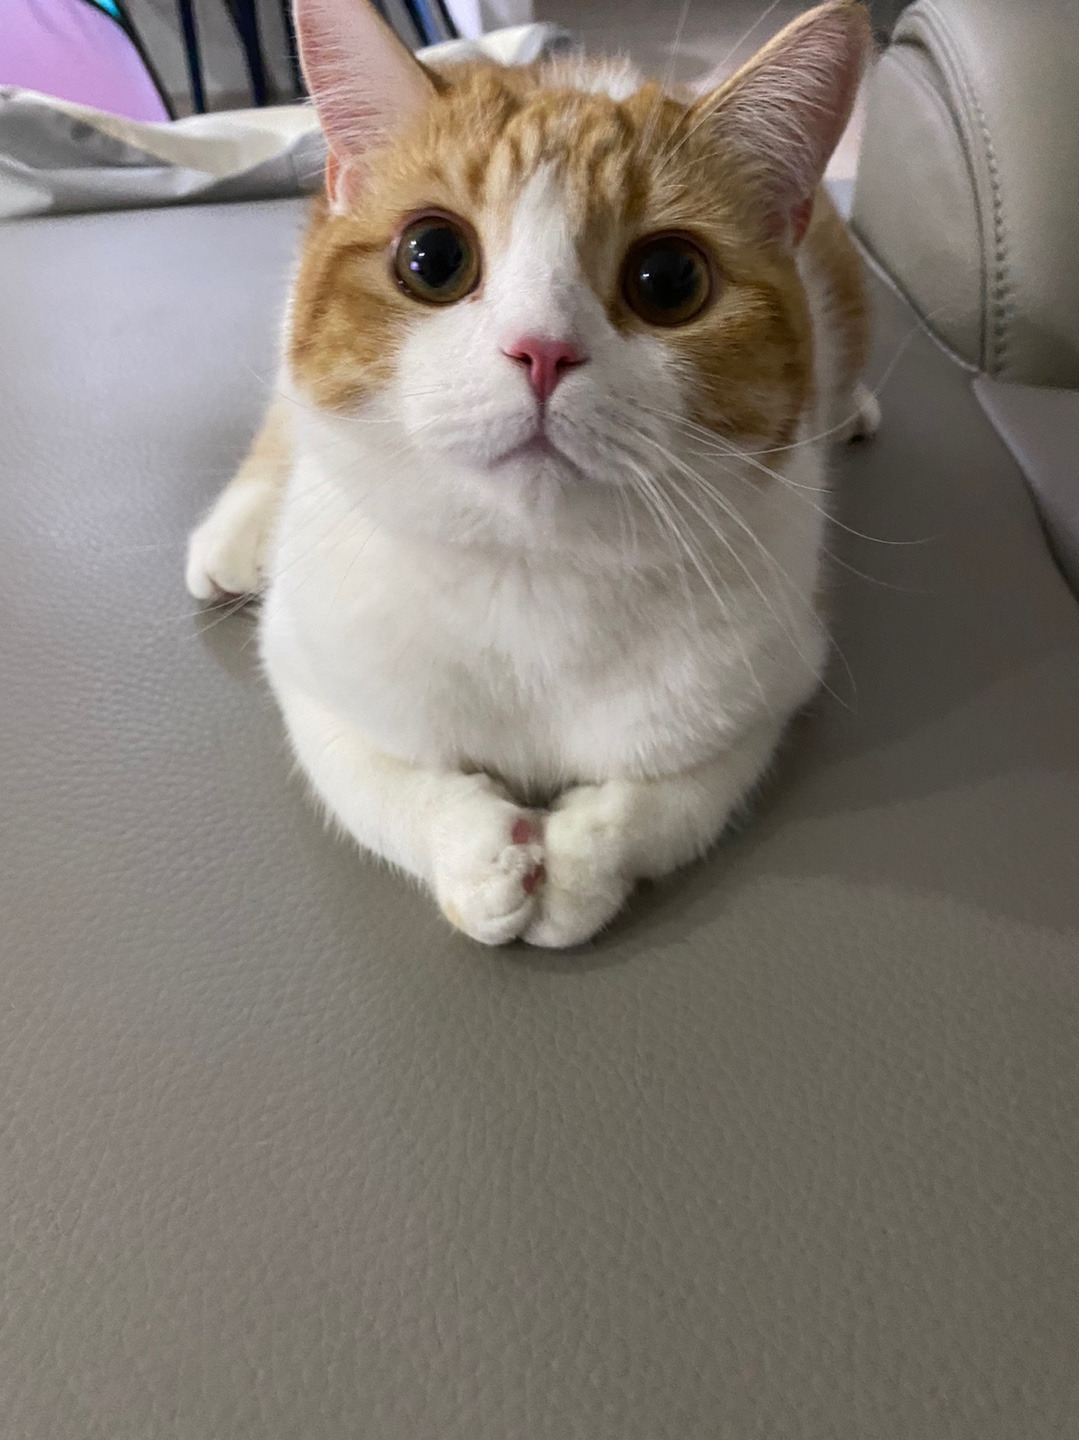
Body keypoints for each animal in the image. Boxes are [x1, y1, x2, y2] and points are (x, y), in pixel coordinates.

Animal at [186, 0, 879, 949]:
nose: (542, 350)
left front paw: (583, 862)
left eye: (670, 278)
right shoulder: (306, 666)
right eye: (432, 255)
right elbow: (370, 780)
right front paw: (475, 855)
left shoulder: (770, 681)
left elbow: (678, 799)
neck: (530, 577)